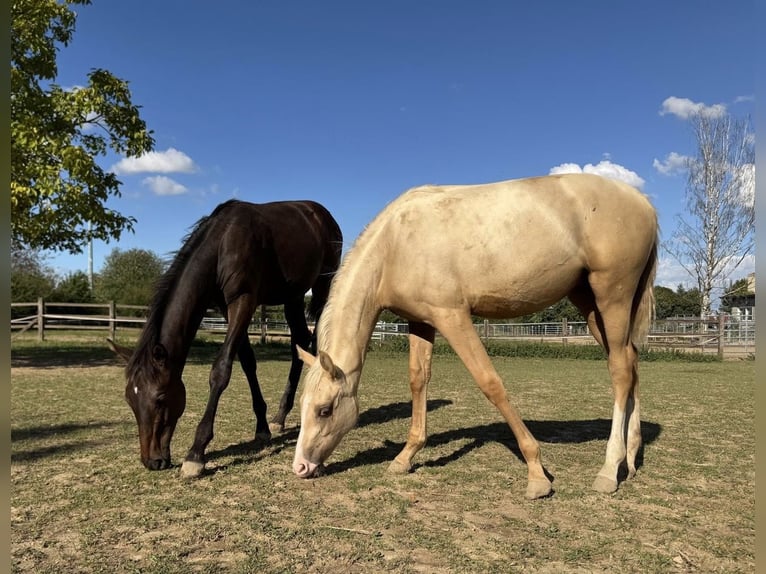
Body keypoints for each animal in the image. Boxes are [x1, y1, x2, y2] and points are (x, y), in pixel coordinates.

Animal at [108, 199, 342, 478]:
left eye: (160, 398)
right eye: (130, 399)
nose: (152, 461)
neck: (223, 242)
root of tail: (322, 214)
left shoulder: (243, 301)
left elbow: (221, 371)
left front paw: (196, 452)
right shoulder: (225, 307)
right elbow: (248, 363)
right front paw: (262, 426)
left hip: (321, 287)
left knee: (316, 339)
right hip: (293, 296)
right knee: (299, 340)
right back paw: (279, 417)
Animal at [292, 173, 658, 500]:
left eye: (325, 410)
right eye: (303, 405)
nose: (301, 467)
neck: (395, 244)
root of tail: (642, 201)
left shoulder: (453, 317)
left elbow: (489, 382)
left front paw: (537, 474)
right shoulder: (420, 322)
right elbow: (418, 380)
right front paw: (405, 457)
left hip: (612, 296)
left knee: (620, 371)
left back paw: (609, 470)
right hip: (590, 304)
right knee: (631, 363)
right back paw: (630, 460)